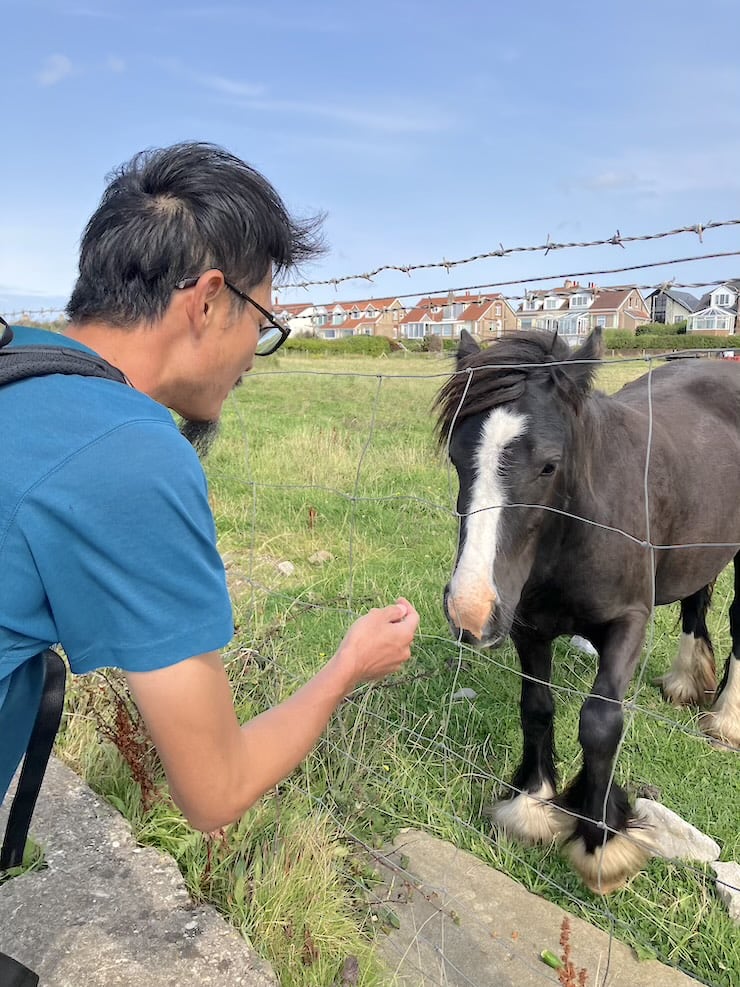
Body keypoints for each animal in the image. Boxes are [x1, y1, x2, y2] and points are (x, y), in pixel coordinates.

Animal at [434, 332, 740, 896]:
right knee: (696, 600)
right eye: (457, 458)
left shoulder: (628, 623)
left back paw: (726, 718)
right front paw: (532, 805)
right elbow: (536, 706)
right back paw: (686, 681)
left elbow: (600, 723)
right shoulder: (528, 627)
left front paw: (602, 841)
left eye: (549, 465)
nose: (470, 611)